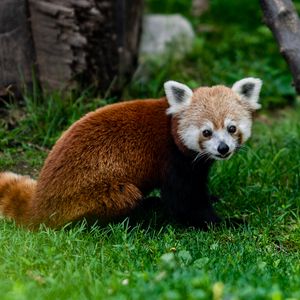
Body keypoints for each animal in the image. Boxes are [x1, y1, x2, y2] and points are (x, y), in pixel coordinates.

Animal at [0, 78, 262, 230]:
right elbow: (184, 202)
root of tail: (39, 202)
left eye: (231, 128)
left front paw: (214, 199)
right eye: (206, 132)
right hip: (100, 193)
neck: (172, 129)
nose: (223, 149)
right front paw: (226, 222)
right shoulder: (173, 161)